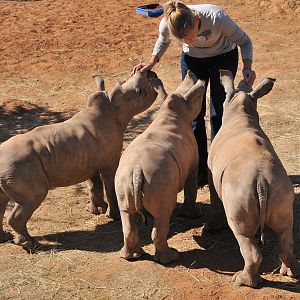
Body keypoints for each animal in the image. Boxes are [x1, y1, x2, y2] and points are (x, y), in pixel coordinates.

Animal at [0, 70, 165, 248]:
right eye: (140, 91)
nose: (152, 73)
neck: (113, 109)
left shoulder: (88, 161)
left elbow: (94, 186)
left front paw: (96, 209)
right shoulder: (109, 162)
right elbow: (109, 187)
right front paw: (113, 216)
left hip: (13, 168)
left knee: (4, 200)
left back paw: (6, 238)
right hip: (18, 166)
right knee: (32, 199)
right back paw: (29, 244)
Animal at [206, 69, 300, 288]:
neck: (239, 109)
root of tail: (261, 181)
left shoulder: (211, 170)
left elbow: (214, 196)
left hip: (239, 190)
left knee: (242, 234)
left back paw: (241, 281)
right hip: (280, 187)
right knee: (285, 230)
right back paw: (291, 273)